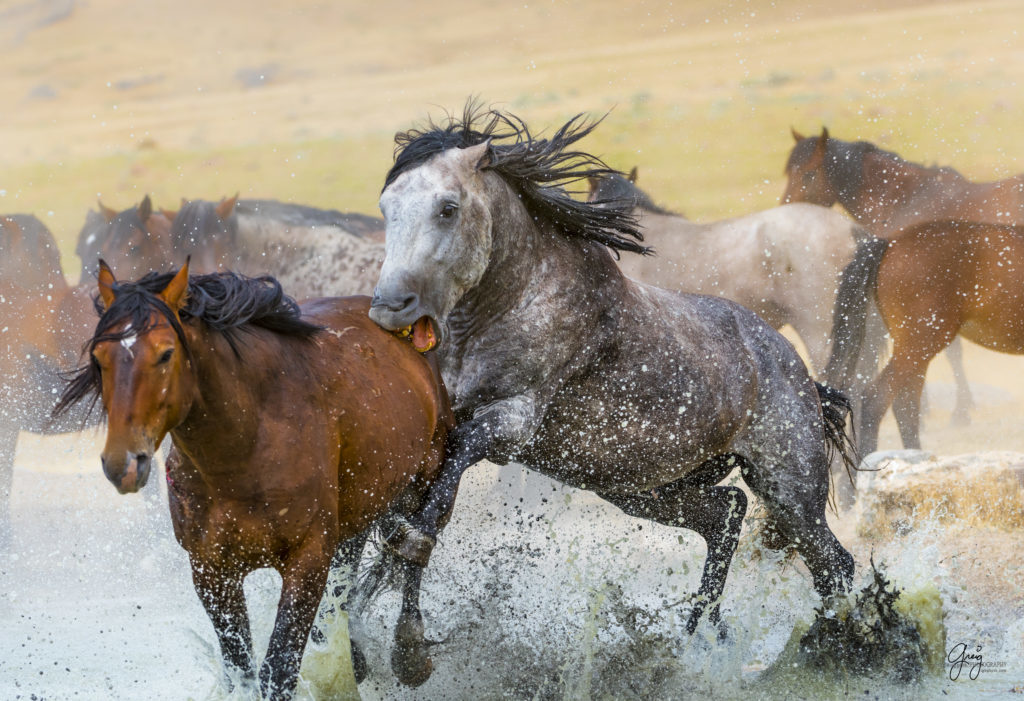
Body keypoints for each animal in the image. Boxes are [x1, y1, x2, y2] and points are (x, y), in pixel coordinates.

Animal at [56, 260, 454, 695]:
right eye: (99, 357)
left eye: (165, 353)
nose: (123, 463)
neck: (245, 453)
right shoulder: (211, 572)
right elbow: (241, 670)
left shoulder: (307, 559)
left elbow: (277, 670)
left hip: (425, 481)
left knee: (414, 547)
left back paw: (409, 652)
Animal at [368, 106, 856, 638]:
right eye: (386, 207)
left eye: (448, 208)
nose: (389, 307)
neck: (515, 300)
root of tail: (801, 373)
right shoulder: (448, 416)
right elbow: (430, 493)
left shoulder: (513, 422)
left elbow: (450, 476)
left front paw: (404, 576)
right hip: (643, 488)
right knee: (728, 515)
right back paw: (700, 638)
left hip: (788, 490)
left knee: (833, 564)